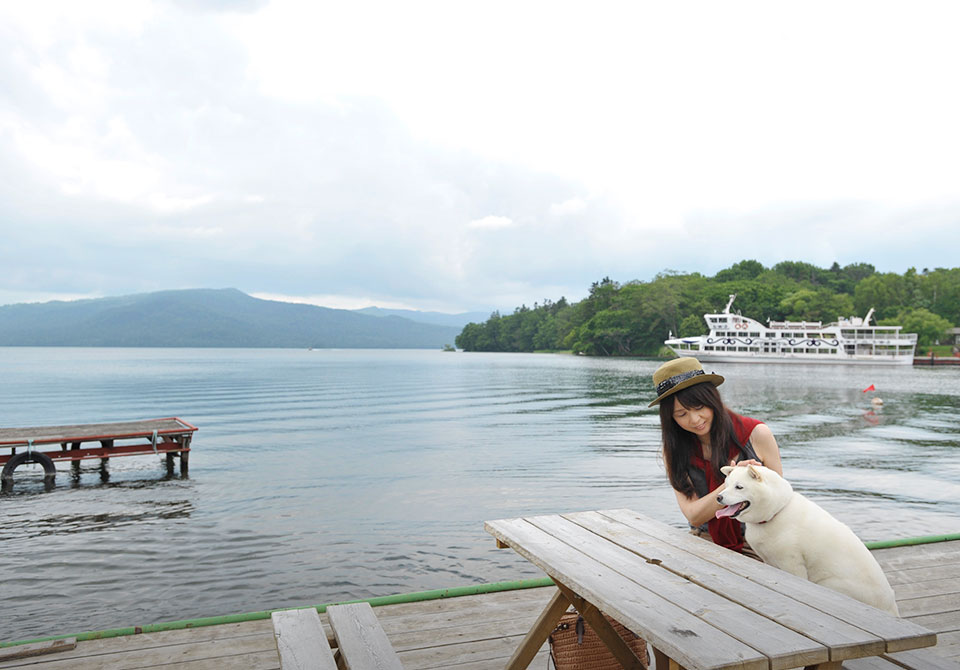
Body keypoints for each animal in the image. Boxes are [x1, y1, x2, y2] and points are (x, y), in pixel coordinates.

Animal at [712, 464, 900, 616]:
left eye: (739, 487)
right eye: (726, 485)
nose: (718, 497)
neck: (776, 512)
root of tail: (891, 608)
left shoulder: (792, 563)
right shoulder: (769, 560)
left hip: (831, 583)